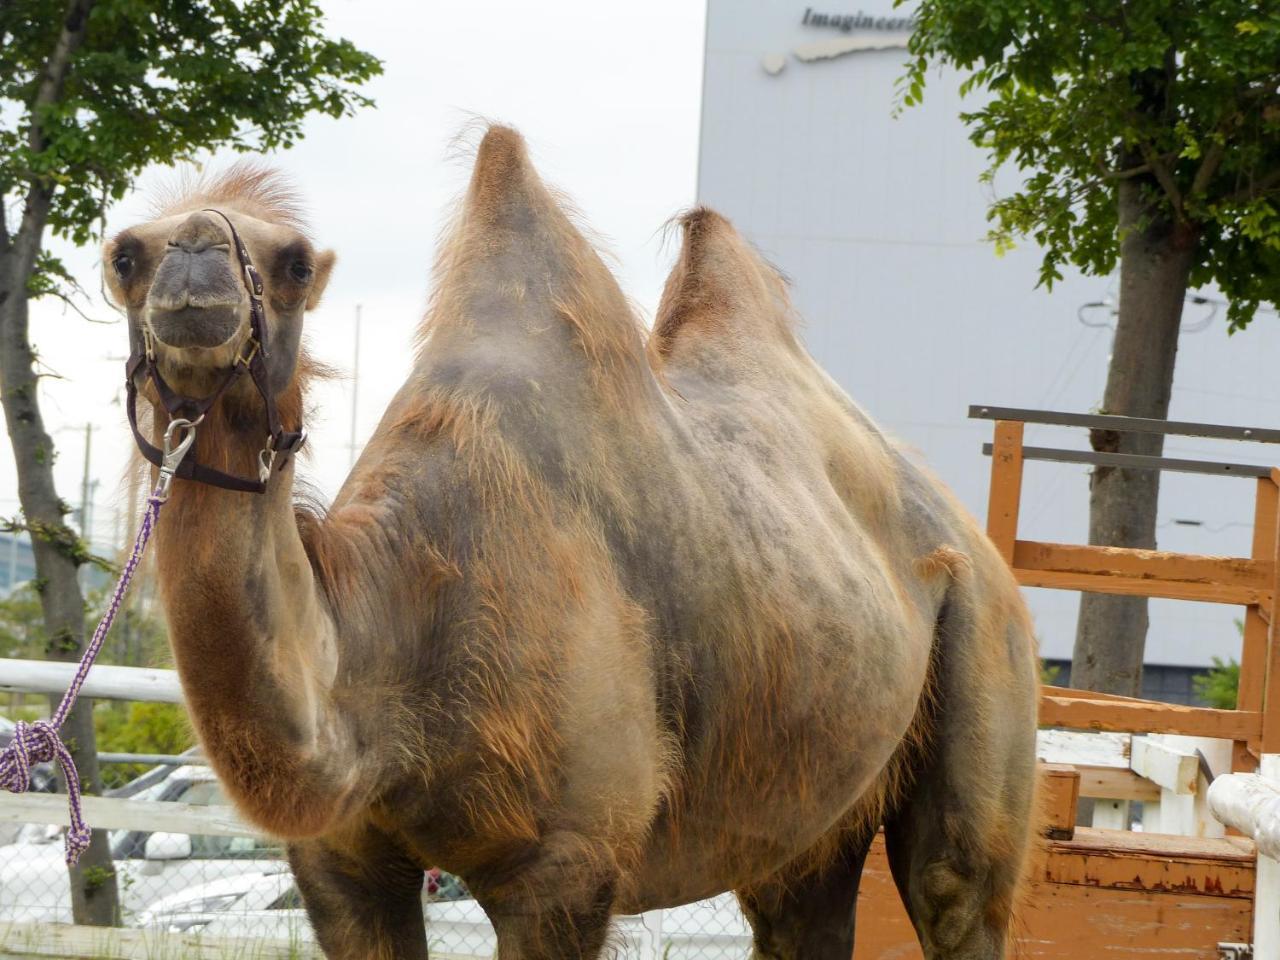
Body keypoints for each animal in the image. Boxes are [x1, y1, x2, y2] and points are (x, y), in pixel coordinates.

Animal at [102, 124, 1039, 957]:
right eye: (123, 256)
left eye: (296, 262)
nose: (195, 261)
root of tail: (970, 535)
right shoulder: (342, 868)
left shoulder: (564, 868)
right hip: (814, 796)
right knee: (798, 909)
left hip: (987, 645)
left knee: (955, 889)